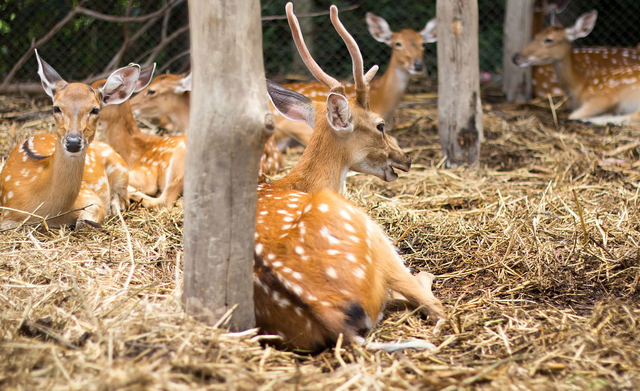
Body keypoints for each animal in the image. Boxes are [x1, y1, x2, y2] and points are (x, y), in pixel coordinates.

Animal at [0, 51, 135, 231]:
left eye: (95, 109)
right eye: (56, 107)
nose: (73, 142)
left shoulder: (89, 196)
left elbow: (84, 222)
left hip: (119, 165)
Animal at [512, 10, 640, 121]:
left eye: (549, 40)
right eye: (536, 35)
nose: (516, 57)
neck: (580, 86)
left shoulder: (604, 97)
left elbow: (573, 115)